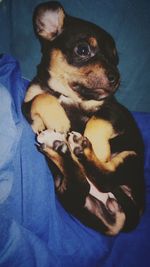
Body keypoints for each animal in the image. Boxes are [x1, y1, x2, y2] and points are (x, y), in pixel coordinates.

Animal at [21, 1, 145, 237]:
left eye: (115, 59)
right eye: (83, 50)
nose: (116, 77)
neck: (71, 96)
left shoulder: (115, 111)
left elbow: (98, 120)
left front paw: (99, 149)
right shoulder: (28, 102)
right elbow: (42, 98)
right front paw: (57, 119)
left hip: (132, 159)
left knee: (105, 179)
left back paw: (80, 148)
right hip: (68, 197)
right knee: (79, 186)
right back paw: (58, 146)